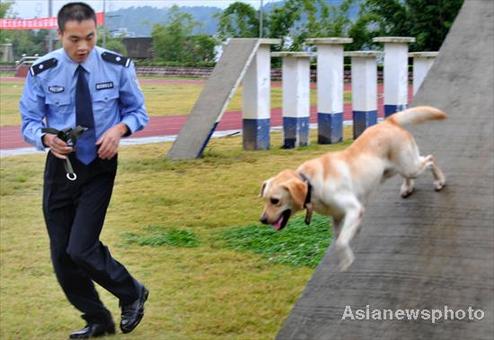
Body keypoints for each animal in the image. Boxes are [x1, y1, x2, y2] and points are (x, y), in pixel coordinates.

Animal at [260, 106, 446, 270]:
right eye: (265, 199)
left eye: (275, 200)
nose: (262, 220)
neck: (310, 182)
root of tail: (389, 121)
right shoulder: (337, 217)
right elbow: (339, 237)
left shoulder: (353, 208)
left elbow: (341, 242)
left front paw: (346, 261)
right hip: (392, 169)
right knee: (413, 171)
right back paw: (407, 188)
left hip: (409, 166)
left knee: (430, 159)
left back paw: (439, 181)